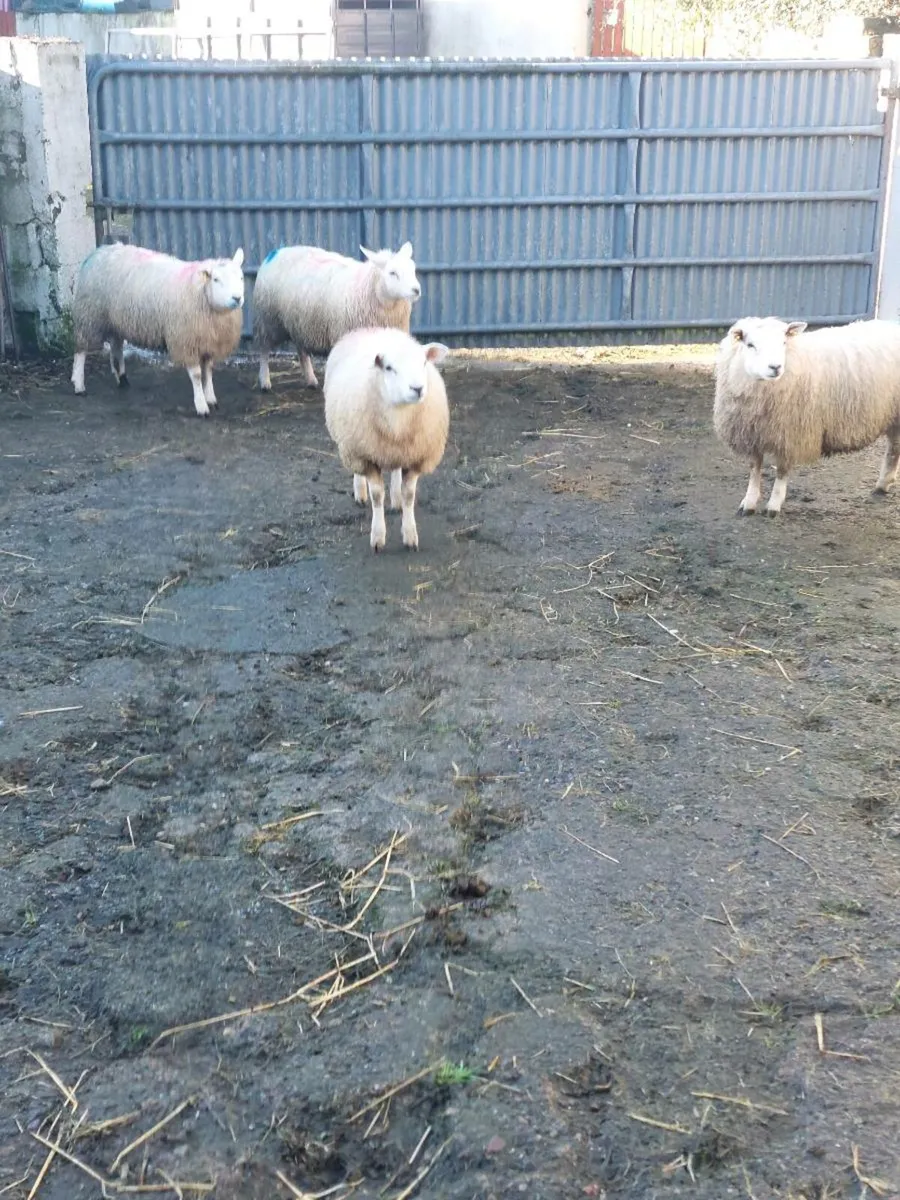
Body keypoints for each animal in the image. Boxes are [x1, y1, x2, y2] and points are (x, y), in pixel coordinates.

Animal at [70, 243, 245, 416]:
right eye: (216, 279)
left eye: (241, 277)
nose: (237, 298)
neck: (200, 292)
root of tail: (101, 249)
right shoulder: (186, 340)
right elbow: (196, 375)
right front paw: (201, 406)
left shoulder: (208, 340)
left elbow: (208, 371)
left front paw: (211, 398)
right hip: (90, 315)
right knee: (81, 351)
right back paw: (79, 385)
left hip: (116, 320)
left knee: (117, 347)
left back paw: (122, 378)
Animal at [253, 240, 421, 509]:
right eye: (393, 273)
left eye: (413, 269)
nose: (416, 290)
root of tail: (278, 250)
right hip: (268, 319)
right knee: (263, 349)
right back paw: (265, 380)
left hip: (299, 323)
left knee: (301, 350)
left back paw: (311, 379)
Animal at [324, 327, 450, 552]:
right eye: (389, 368)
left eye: (423, 363)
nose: (417, 388)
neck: (398, 418)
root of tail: (375, 329)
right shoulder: (364, 456)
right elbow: (377, 495)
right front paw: (378, 537)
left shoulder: (416, 457)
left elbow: (409, 495)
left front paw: (410, 535)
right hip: (351, 445)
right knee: (358, 473)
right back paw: (360, 492)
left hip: (396, 451)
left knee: (396, 470)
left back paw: (396, 498)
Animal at [713, 315, 900, 516]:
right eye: (750, 345)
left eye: (784, 342)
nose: (776, 367)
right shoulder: (752, 434)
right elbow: (754, 468)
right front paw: (748, 502)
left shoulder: (791, 435)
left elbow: (781, 470)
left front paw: (774, 505)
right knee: (894, 449)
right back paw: (883, 485)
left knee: (894, 449)